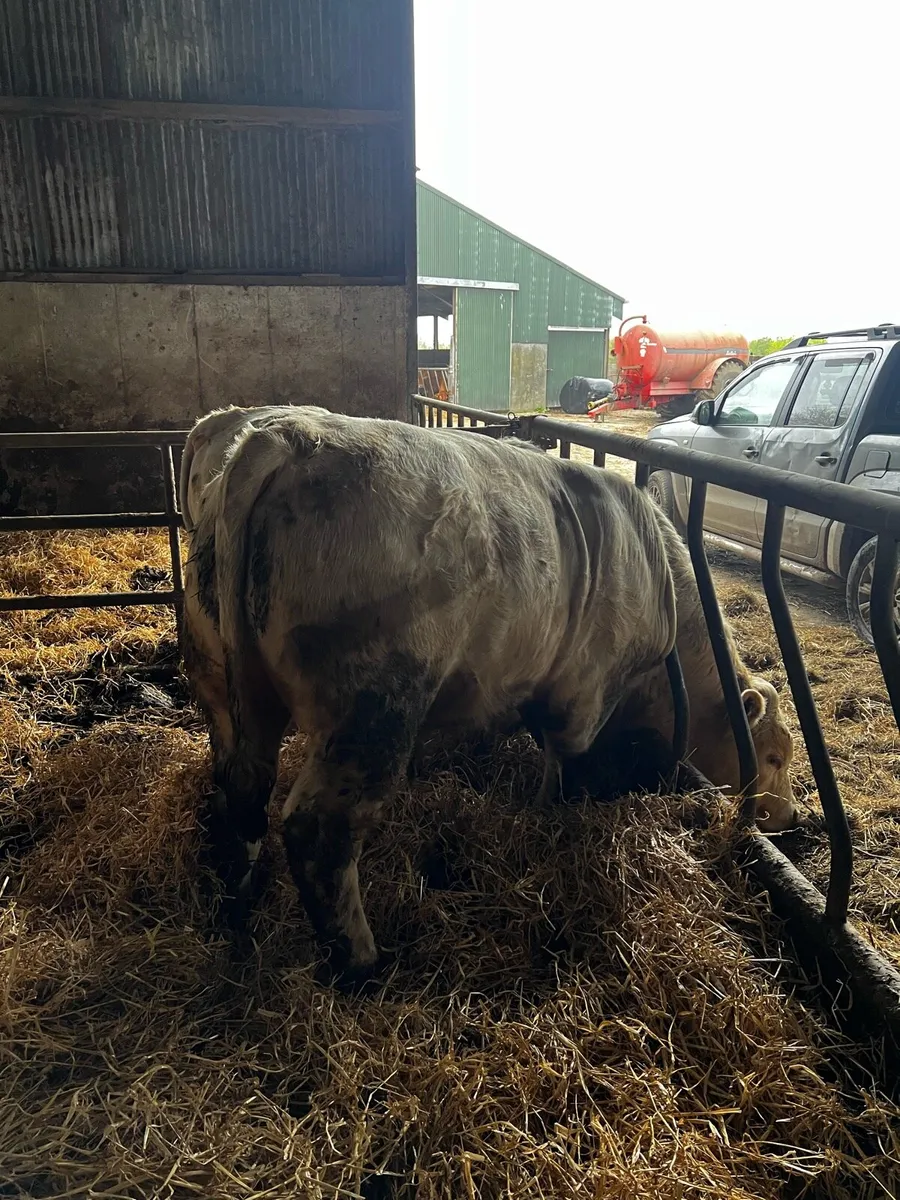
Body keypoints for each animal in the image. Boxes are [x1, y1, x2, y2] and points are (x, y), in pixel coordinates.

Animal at [180, 405, 796, 983]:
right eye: (771, 756)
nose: (791, 818)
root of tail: (281, 438)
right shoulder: (583, 693)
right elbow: (562, 770)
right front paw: (549, 823)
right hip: (372, 709)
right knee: (320, 829)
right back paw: (362, 964)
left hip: (219, 679)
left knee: (242, 782)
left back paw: (240, 897)